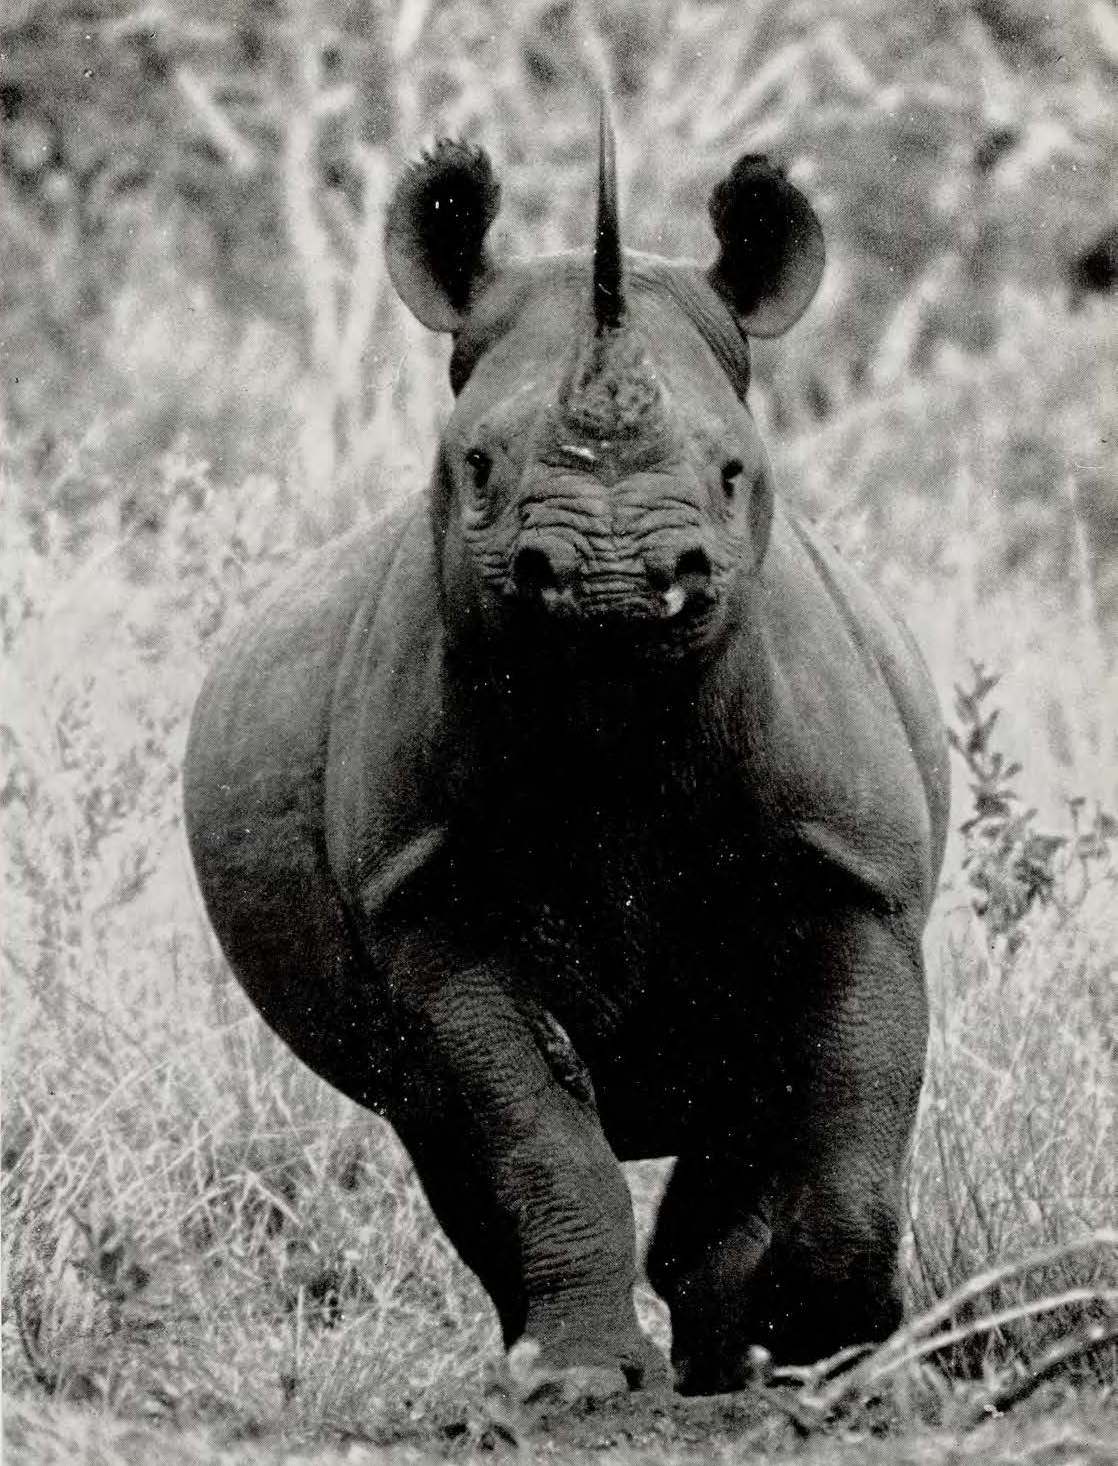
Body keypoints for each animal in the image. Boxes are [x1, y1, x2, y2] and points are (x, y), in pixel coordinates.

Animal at [184, 106, 949, 1399]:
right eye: (477, 467)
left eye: (733, 471)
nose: (611, 577)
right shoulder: (427, 894)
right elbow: (526, 1125)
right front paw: (579, 1382)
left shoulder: (858, 869)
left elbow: (852, 1102)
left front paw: (831, 1360)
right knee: (439, 1128)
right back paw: (576, 1359)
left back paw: (730, 1361)